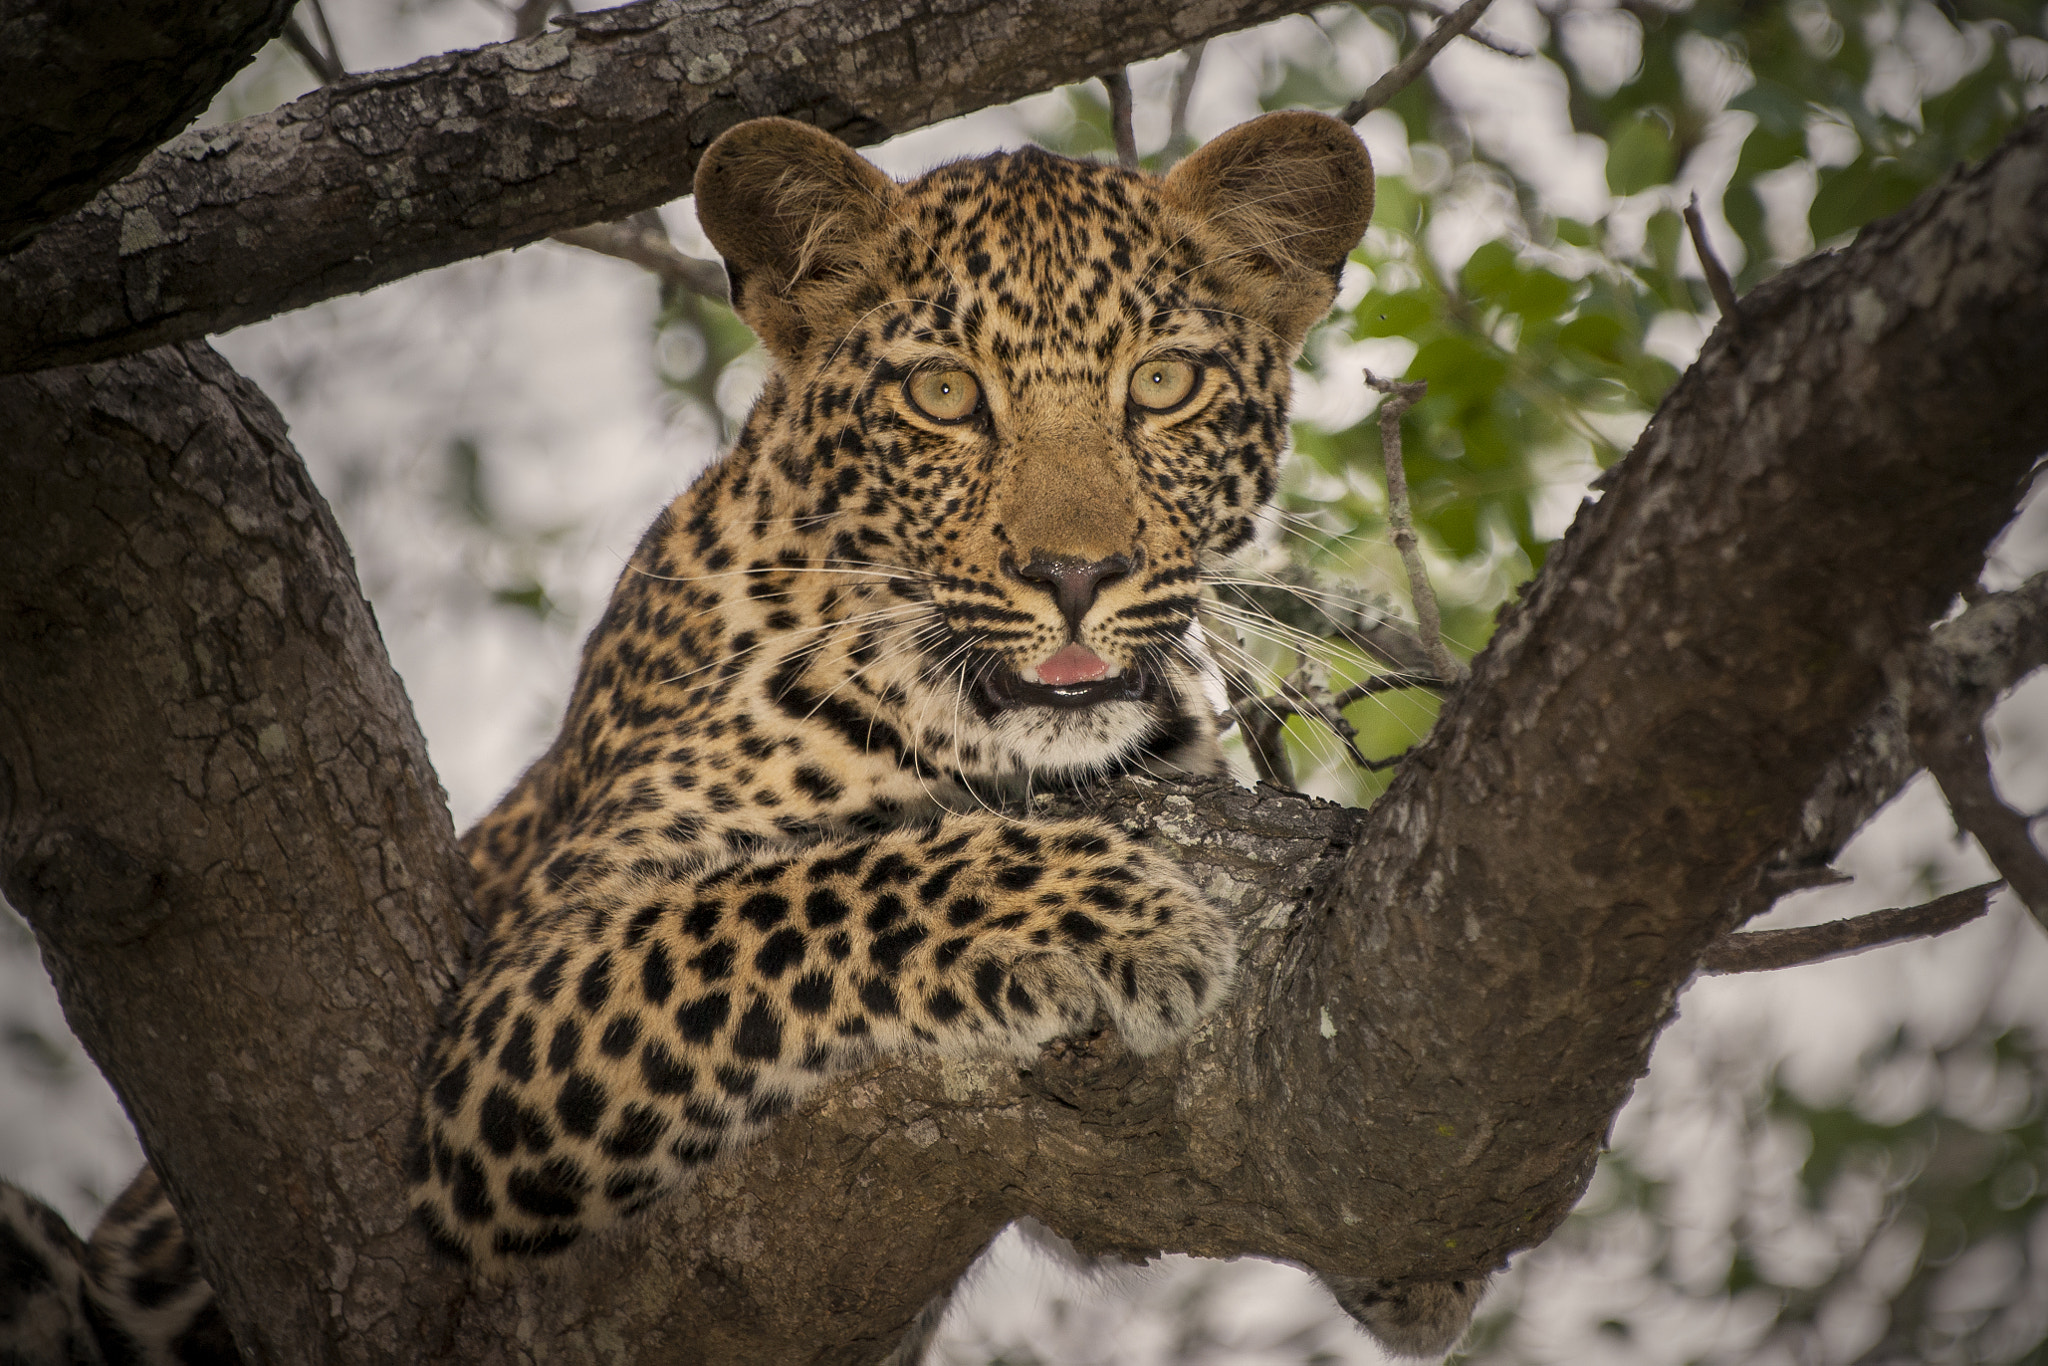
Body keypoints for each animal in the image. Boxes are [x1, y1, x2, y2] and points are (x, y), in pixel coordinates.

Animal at [0, 112, 1482, 1359]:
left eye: (1164, 383)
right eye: (945, 396)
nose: (1076, 573)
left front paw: (1423, 1260)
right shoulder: (516, 1010)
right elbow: (812, 887)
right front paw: (1118, 912)